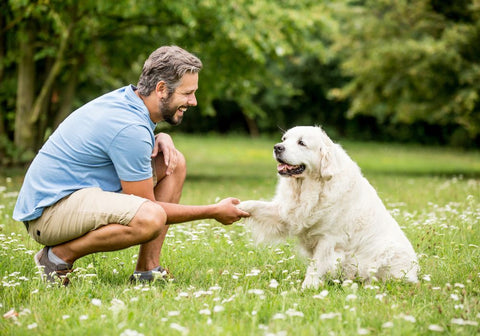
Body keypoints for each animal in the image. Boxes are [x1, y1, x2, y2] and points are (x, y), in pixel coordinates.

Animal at [238, 126, 418, 288]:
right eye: (284, 139)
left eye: (301, 142)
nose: (277, 147)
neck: (311, 187)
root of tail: (415, 272)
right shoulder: (287, 213)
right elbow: (255, 205)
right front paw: (237, 207)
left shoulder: (328, 238)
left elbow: (315, 266)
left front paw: (307, 288)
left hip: (387, 251)